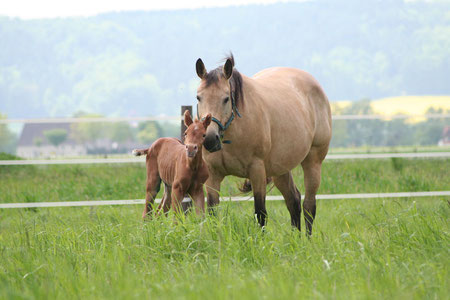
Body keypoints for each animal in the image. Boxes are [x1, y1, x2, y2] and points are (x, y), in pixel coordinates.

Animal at [196, 55, 330, 236]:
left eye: (226, 98)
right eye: (198, 97)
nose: (210, 139)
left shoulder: (257, 171)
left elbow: (260, 214)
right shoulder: (213, 175)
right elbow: (212, 214)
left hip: (313, 161)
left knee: (309, 206)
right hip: (280, 169)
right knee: (293, 201)